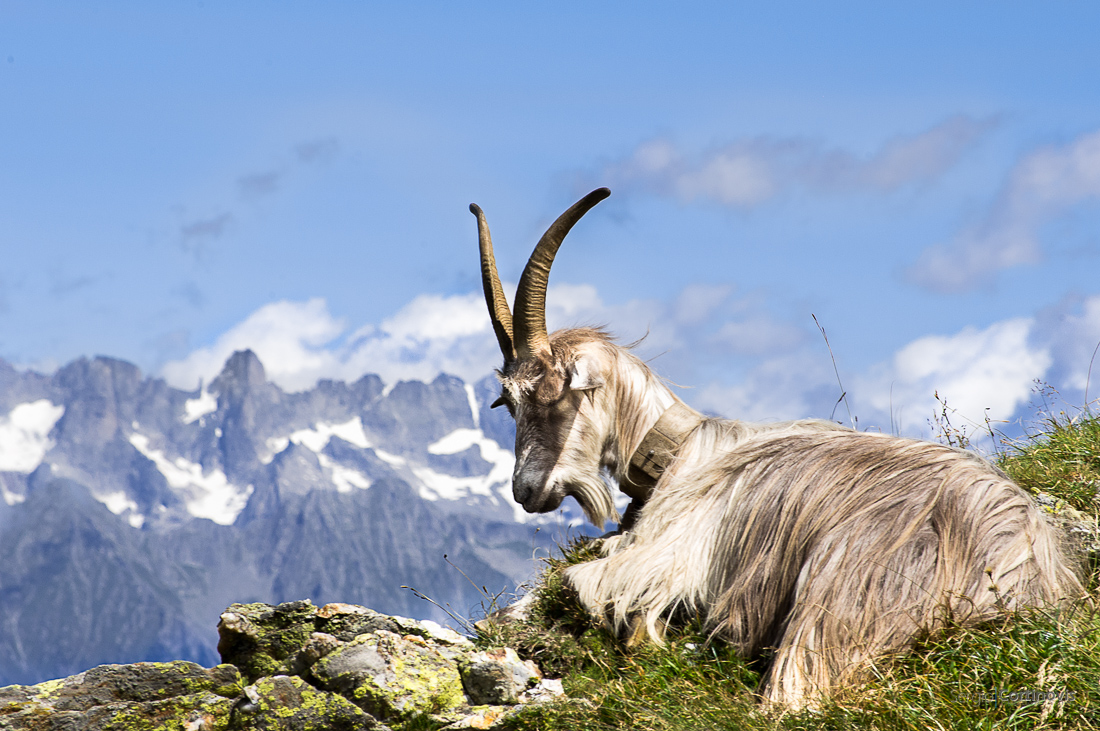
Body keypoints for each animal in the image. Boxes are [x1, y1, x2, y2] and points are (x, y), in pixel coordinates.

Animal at [466, 187, 1082, 707]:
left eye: (551, 394)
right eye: (507, 403)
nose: (525, 491)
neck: (684, 454)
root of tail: (1014, 565)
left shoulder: (667, 558)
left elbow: (578, 579)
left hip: (834, 598)